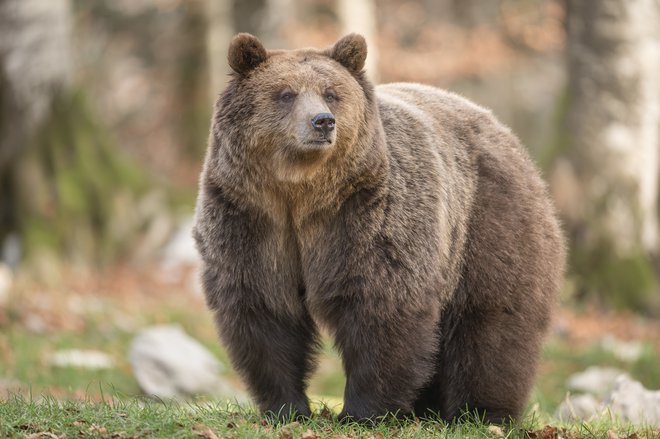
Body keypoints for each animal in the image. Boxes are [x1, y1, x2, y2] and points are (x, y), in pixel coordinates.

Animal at [193, 32, 564, 424]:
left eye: (331, 93)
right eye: (286, 93)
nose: (322, 122)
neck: (301, 194)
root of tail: (506, 134)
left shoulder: (368, 215)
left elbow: (381, 303)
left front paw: (362, 411)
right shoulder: (250, 219)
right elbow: (264, 309)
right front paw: (286, 407)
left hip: (487, 222)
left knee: (491, 320)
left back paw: (481, 412)